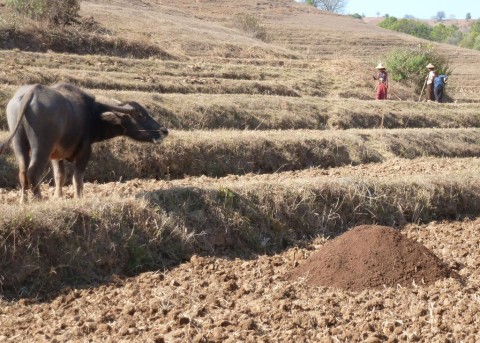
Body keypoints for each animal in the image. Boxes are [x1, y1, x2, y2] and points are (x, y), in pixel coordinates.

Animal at [0, 83, 169, 203]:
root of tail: (31, 92)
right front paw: (78, 197)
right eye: (140, 115)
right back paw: (39, 199)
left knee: (22, 172)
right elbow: (78, 177)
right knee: (33, 171)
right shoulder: (85, 151)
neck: (92, 115)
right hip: (42, 147)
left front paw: (58, 197)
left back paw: (23, 201)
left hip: (19, 144)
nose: (164, 130)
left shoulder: (56, 155)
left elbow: (60, 176)